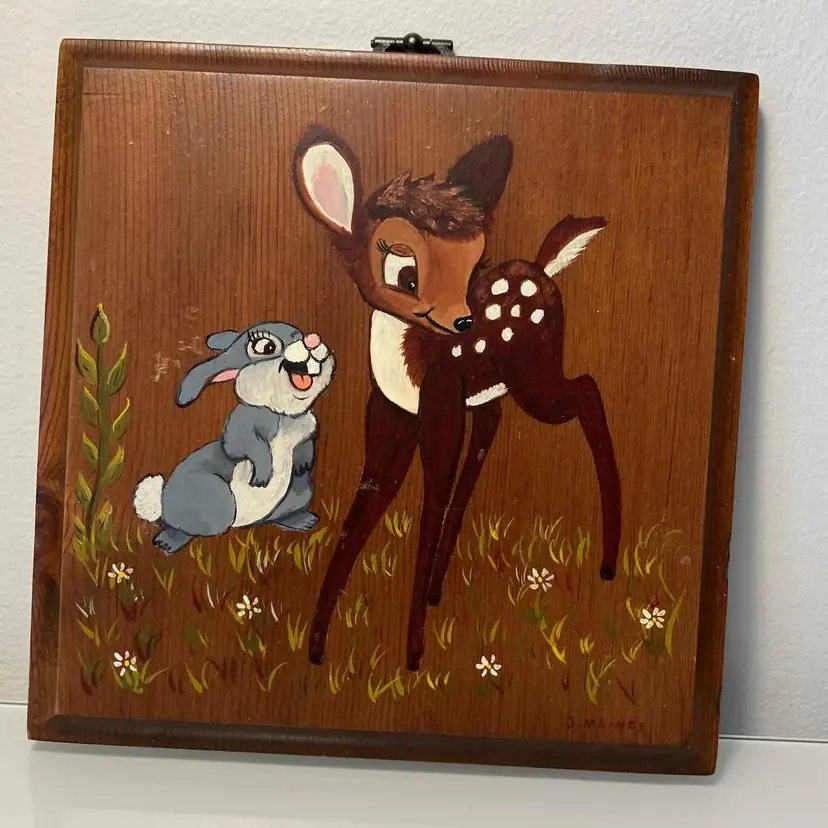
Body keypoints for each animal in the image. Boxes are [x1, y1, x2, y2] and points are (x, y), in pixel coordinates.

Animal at [133, 321, 335, 555]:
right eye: (266, 347)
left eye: (300, 334)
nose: (312, 340)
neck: (282, 414)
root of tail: (163, 500)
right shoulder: (241, 428)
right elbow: (247, 446)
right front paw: (262, 476)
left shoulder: (307, 429)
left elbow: (306, 442)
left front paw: (303, 462)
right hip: (214, 497)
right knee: (184, 527)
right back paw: (167, 542)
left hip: (299, 491)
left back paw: (302, 521)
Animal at [293, 126, 620, 671]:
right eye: (404, 272)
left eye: (474, 265)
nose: (465, 321)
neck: (408, 360)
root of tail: (545, 269)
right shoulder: (392, 417)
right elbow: (363, 510)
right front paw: (317, 647)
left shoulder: (440, 406)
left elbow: (431, 502)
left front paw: (412, 655)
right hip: (493, 394)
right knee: (492, 437)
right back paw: (437, 590)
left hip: (536, 379)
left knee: (589, 389)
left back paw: (609, 562)